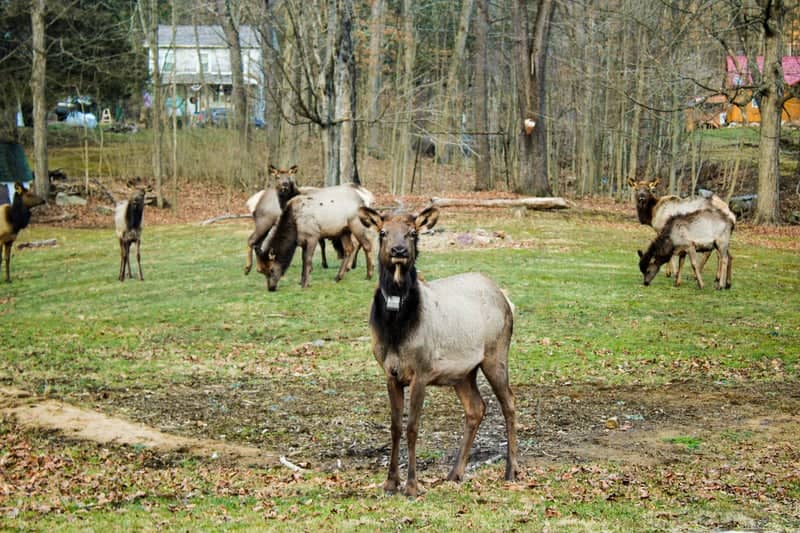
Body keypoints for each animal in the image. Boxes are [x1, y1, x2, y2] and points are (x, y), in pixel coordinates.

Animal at [357, 205, 519, 498]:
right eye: (383, 232)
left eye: (413, 233)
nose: (399, 250)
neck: (396, 329)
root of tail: (505, 297)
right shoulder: (390, 373)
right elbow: (395, 427)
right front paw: (390, 482)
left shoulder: (421, 371)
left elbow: (412, 427)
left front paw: (412, 485)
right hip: (463, 373)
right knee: (476, 408)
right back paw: (455, 472)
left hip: (496, 354)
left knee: (509, 403)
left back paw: (512, 470)